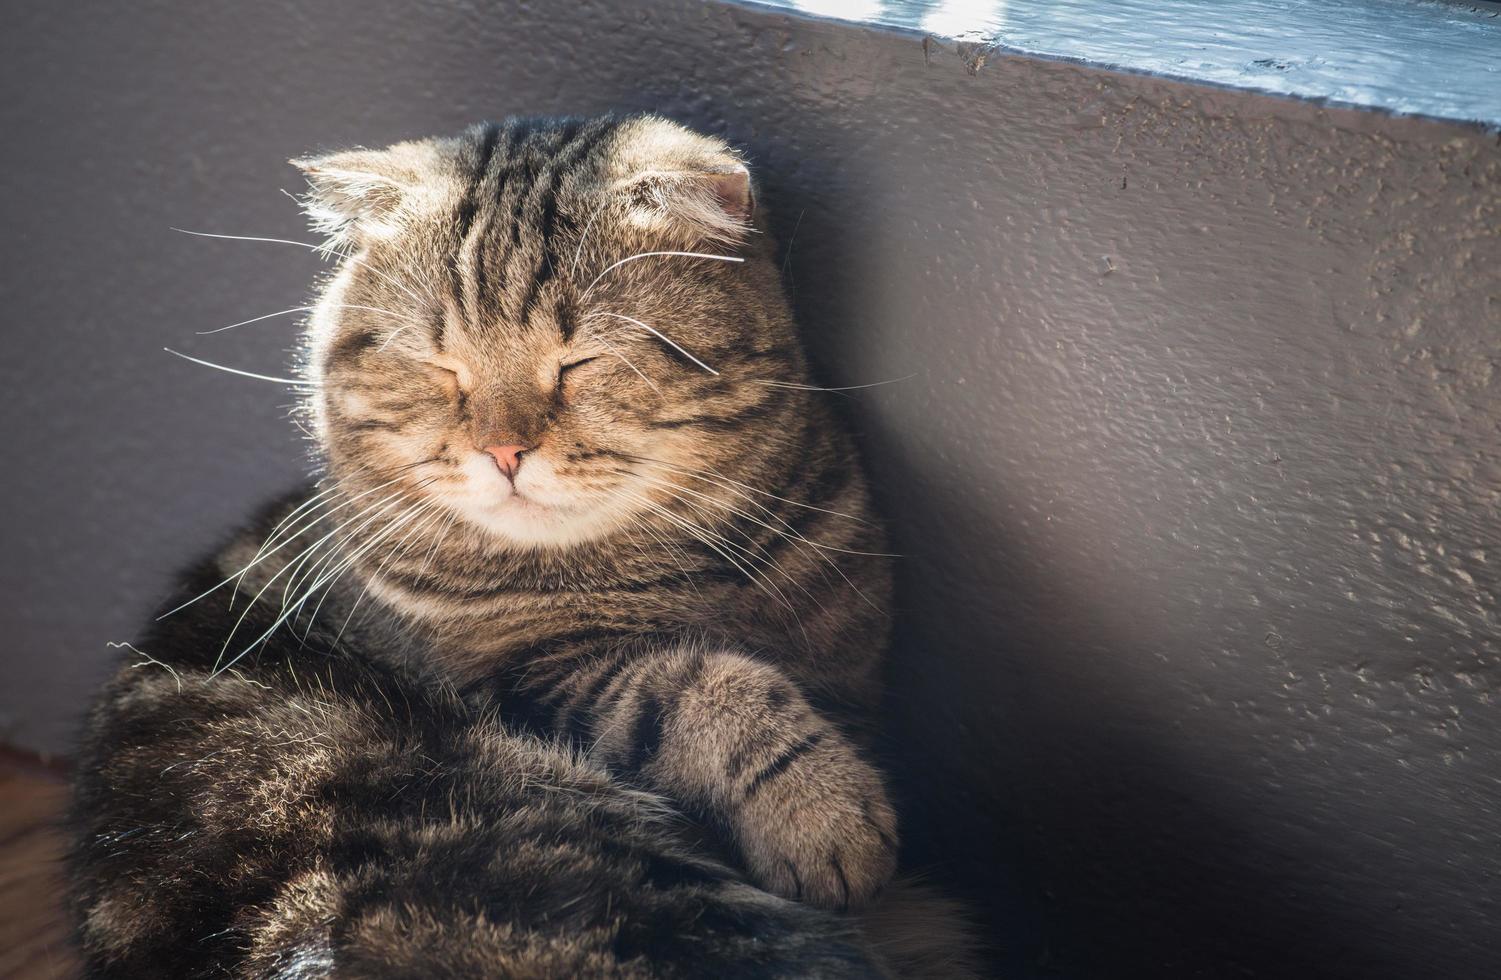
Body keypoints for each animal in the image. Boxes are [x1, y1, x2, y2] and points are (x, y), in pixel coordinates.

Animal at [67, 116, 984, 978]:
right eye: (440, 366)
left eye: (579, 361)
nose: (502, 450)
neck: (669, 571)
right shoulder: (531, 677)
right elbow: (692, 687)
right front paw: (820, 812)